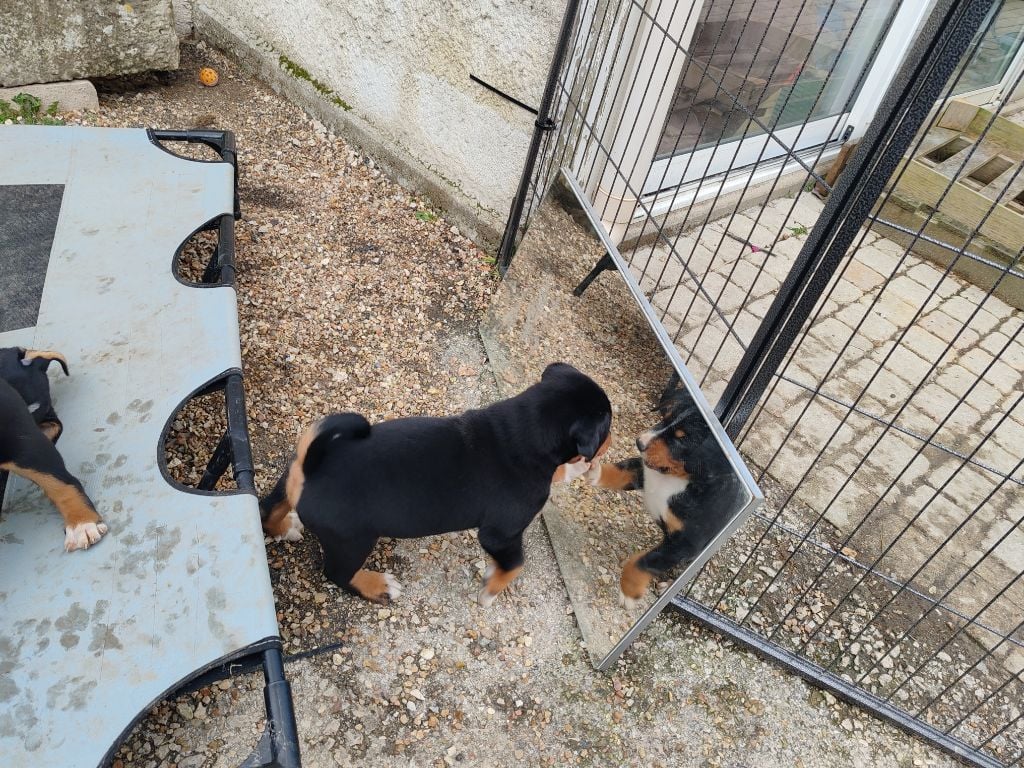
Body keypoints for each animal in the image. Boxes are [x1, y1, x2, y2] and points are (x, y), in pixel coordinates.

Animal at [260, 362, 612, 605]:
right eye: (607, 427)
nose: (611, 443)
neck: (524, 429)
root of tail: (312, 468)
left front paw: (577, 470)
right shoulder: (500, 534)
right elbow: (515, 564)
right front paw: (490, 591)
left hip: (291, 478)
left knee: (268, 508)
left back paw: (283, 528)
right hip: (352, 541)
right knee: (336, 574)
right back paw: (378, 587)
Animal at [585, 382, 745, 608]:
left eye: (681, 439)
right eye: (666, 416)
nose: (639, 443)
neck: (676, 480)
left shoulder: (685, 542)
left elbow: (645, 561)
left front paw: (629, 593)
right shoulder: (643, 471)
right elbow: (621, 470)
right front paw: (595, 471)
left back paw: (666, 586)